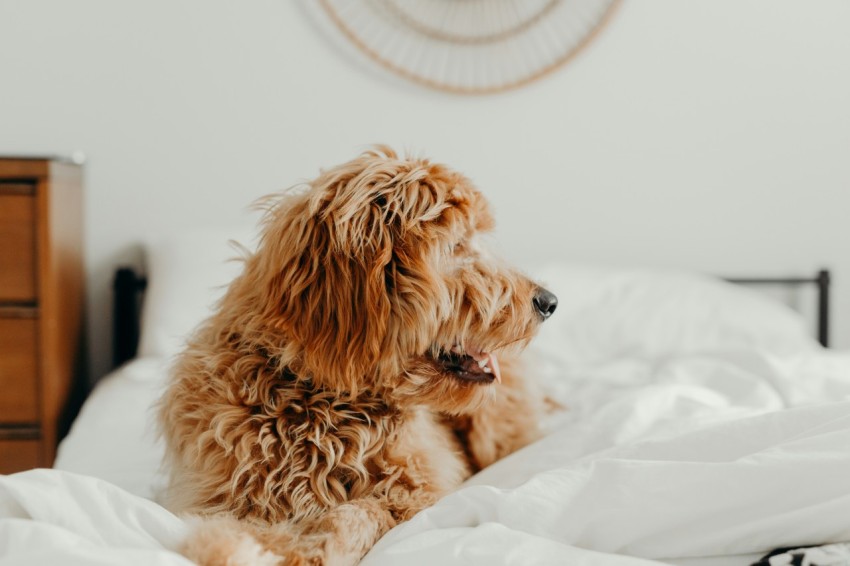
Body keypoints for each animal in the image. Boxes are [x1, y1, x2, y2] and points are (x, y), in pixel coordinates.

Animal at [159, 149, 556, 564]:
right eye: (457, 245)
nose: (549, 301)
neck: (320, 402)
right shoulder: (224, 496)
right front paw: (234, 546)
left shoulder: (421, 495)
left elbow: (359, 513)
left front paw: (309, 546)